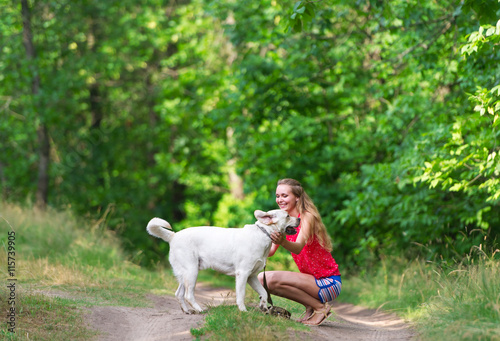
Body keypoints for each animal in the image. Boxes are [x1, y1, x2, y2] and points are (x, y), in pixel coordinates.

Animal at [146, 210, 298, 314]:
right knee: (188, 295)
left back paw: (188, 311)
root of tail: (173, 236)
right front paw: (243, 311)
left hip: (184, 274)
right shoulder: (242, 274)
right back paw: (199, 309)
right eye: (287, 215)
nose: (299, 218)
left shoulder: (252, 276)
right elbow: (241, 295)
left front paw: (264, 306)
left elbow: (264, 292)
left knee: (179, 294)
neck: (263, 233)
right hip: (191, 271)